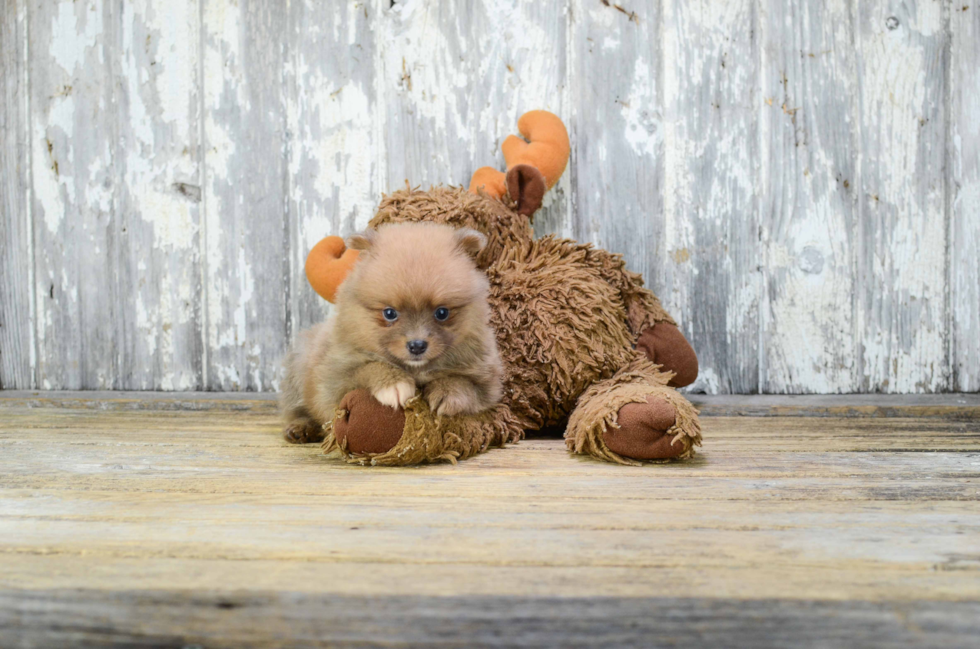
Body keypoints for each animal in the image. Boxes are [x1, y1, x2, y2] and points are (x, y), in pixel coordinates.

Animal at [280, 220, 502, 442]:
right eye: (389, 313)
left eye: (442, 312)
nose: (417, 345)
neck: (415, 369)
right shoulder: (333, 381)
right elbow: (369, 366)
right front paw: (393, 383)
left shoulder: (488, 382)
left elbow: (466, 383)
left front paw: (448, 392)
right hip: (298, 368)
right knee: (297, 409)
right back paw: (301, 428)